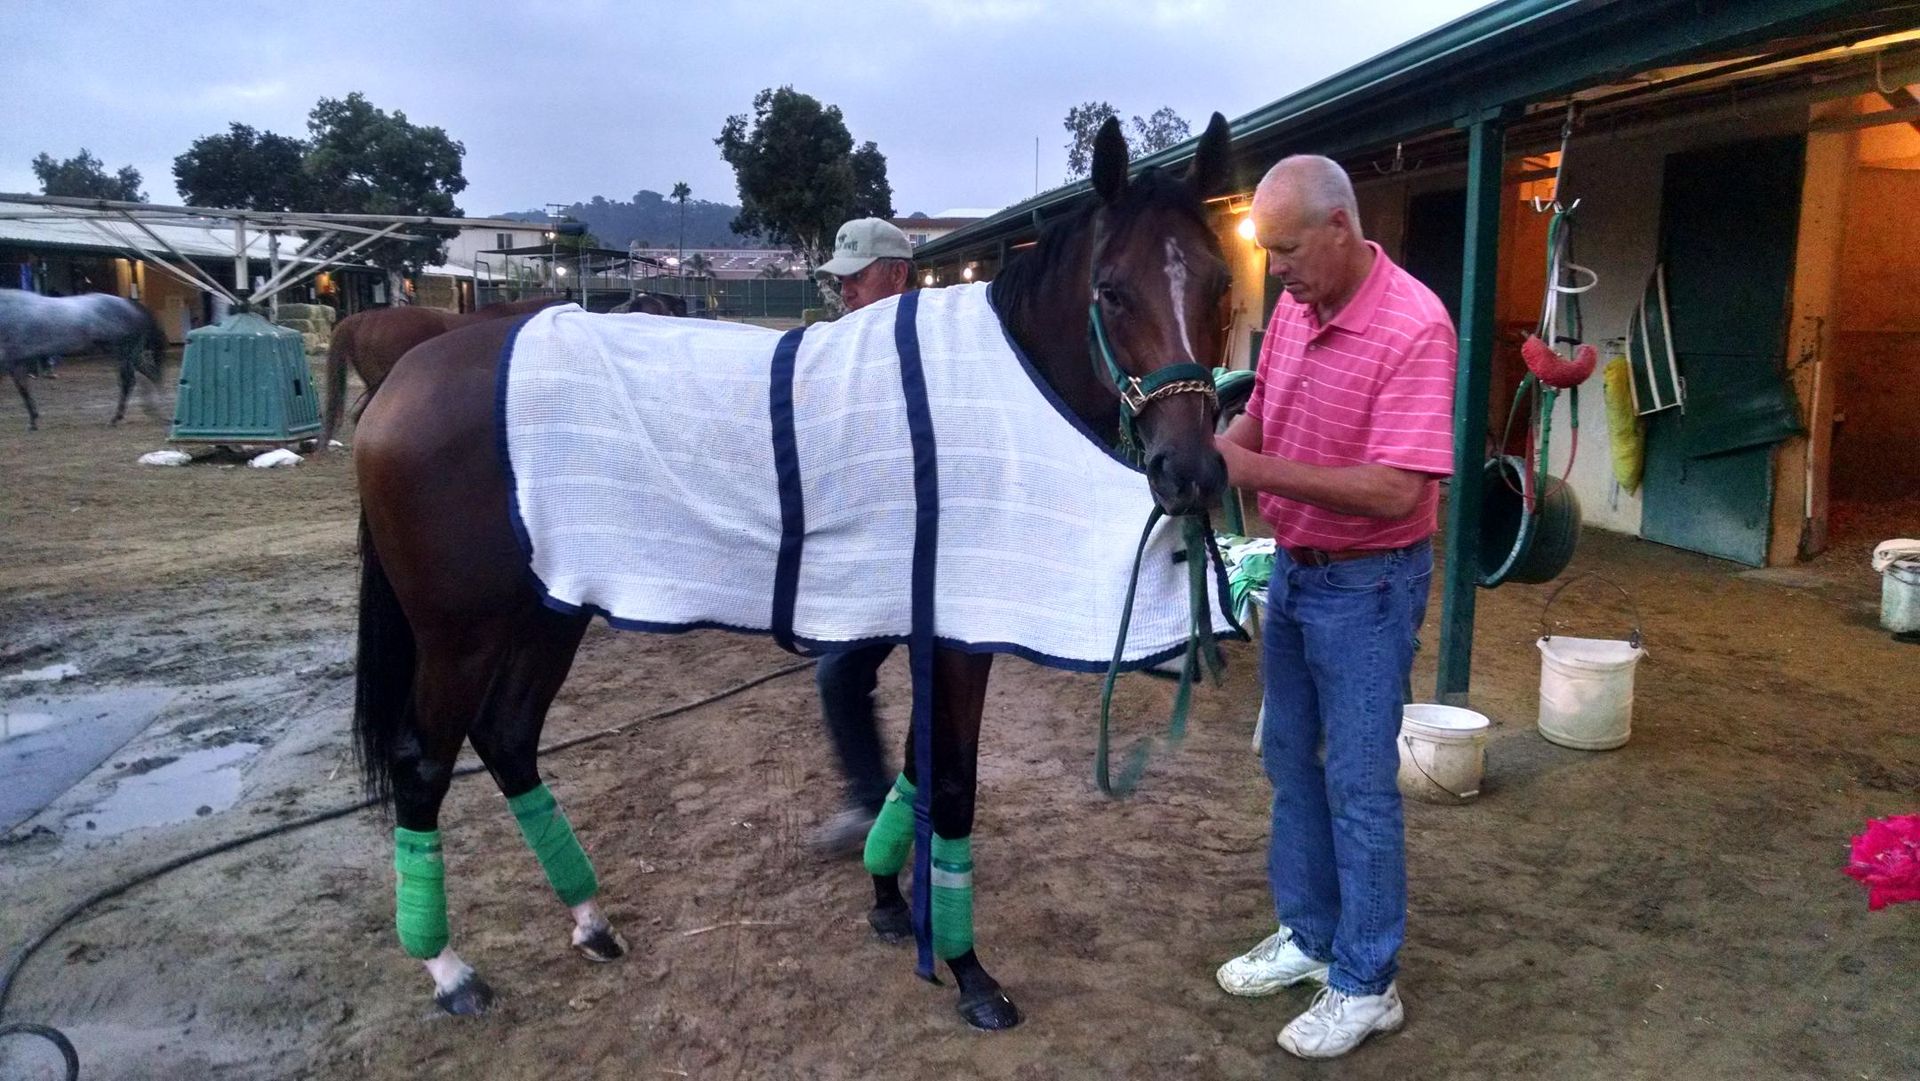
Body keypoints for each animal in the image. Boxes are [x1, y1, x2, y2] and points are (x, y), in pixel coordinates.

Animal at [0, 290, 168, 431]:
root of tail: (129, 304)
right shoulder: (17, 362)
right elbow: (24, 390)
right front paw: (33, 420)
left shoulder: (10, 363)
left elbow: (23, 390)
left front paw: (32, 422)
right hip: (130, 354)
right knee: (151, 374)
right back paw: (155, 410)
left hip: (123, 353)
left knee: (129, 382)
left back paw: (116, 419)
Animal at [349, 113, 1236, 1029]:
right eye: (1112, 290)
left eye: (1219, 284)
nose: (1190, 472)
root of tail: (404, 381)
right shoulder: (958, 637)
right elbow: (951, 782)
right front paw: (967, 969)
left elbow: (914, 768)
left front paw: (888, 897)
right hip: (460, 635)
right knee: (424, 761)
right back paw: (450, 968)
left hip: (547, 611)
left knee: (508, 737)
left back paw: (590, 920)